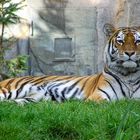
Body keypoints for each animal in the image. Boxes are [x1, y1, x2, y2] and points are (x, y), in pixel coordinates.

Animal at [0, 23, 140, 105]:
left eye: (137, 41)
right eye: (120, 41)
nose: (129, 53)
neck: (129, 75)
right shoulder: (98, 96)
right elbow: (111, 104)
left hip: (30, 99)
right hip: (11, 90)